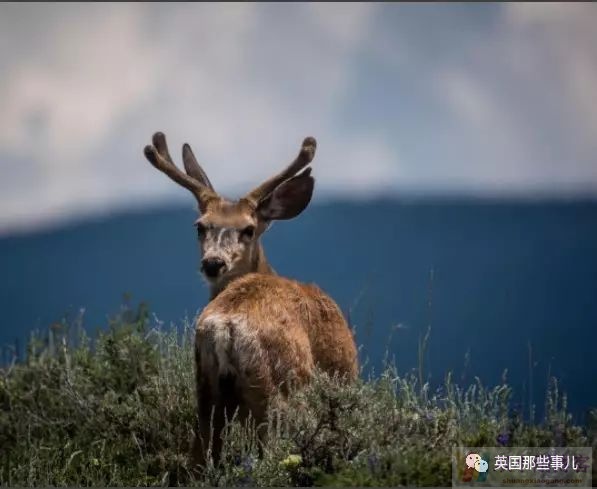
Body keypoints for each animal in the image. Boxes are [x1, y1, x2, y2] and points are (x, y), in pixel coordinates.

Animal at [143, 132, 358, 468]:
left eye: (248, 228)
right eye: (200, 226)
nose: (213, 263)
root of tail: (224, 327)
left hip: (206, 390)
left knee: (200, 457)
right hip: (279, 390)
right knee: (273, 453)